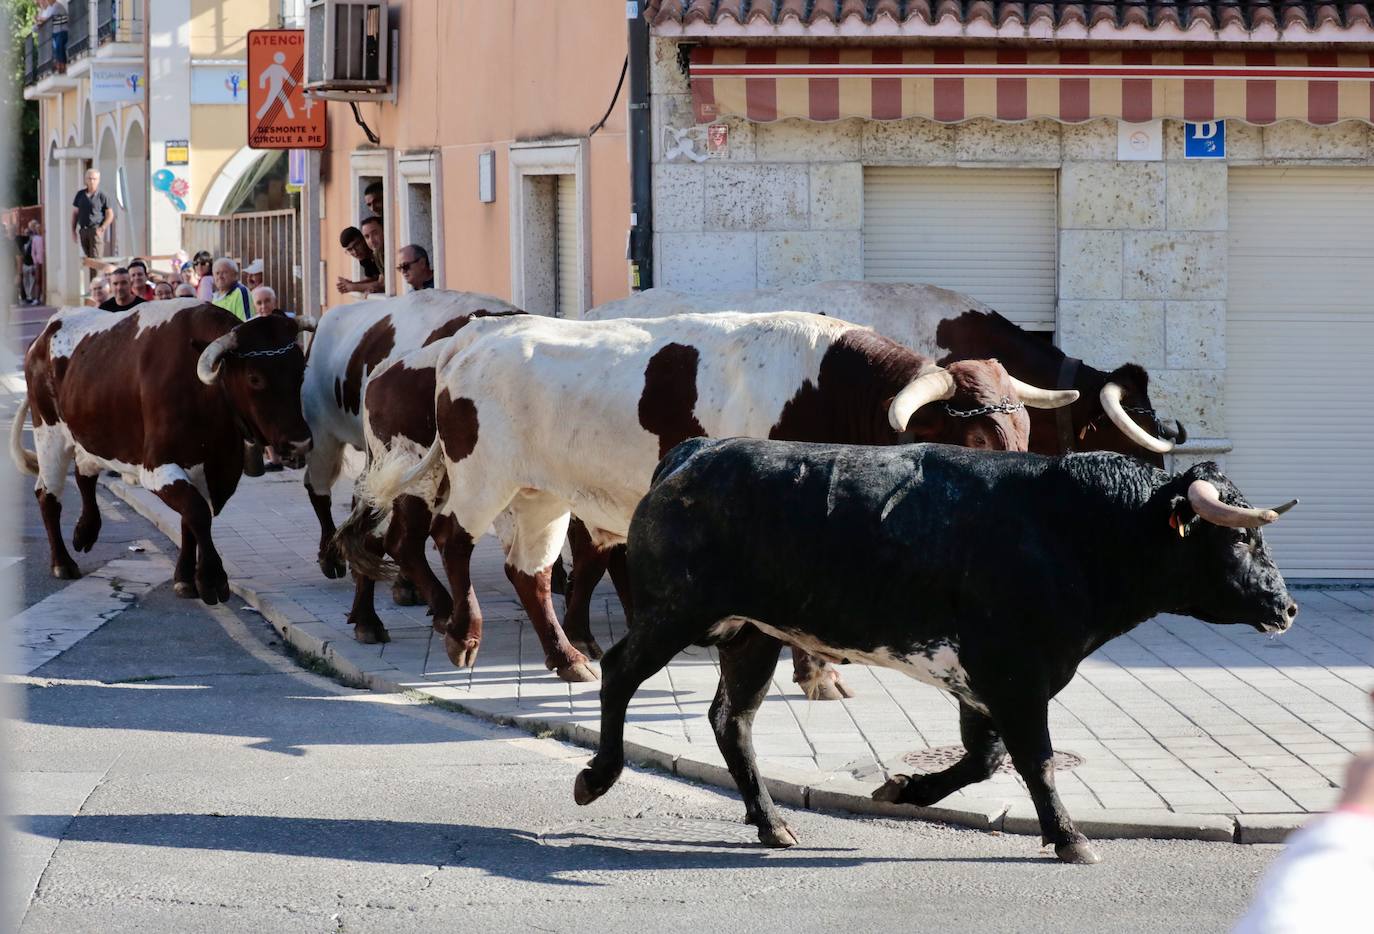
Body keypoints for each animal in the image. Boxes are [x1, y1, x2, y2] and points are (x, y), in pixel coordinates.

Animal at [9, 302, 314, 601]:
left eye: (301, 371)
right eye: (254, 378)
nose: (299, 442)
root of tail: (47, 330)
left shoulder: (209, 467)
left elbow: (189, 520)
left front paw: (185, 579)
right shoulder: (157, 467)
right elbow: (197, 513)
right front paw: (212, 580)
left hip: (88, 432)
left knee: (85, 473)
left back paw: (86, 531)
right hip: (49, 434)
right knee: (48, 494)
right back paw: (62, 562)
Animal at [340, 311, 1071, 686]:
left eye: (1023, 435)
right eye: (972, 437)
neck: (826, 390)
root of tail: (474, 336)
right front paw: (813, 674)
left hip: (542, 493)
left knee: (533, 572)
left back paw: (568, 658)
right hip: (482, 475)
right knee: (449, 540)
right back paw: (461, 635)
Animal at [577, 442, 1297, 862]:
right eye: (1240, 539)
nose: (1286, 606)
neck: (1072, 526)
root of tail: (695, 451)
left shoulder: (982, 681)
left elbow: (985, 760)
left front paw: (906, 788)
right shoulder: (1015, 674)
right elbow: (1035, 760)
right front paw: (1070, 837)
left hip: (753, 636)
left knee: (733, 722)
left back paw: (772, 823)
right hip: (675, 612)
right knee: (619, 672)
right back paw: (598, 776)